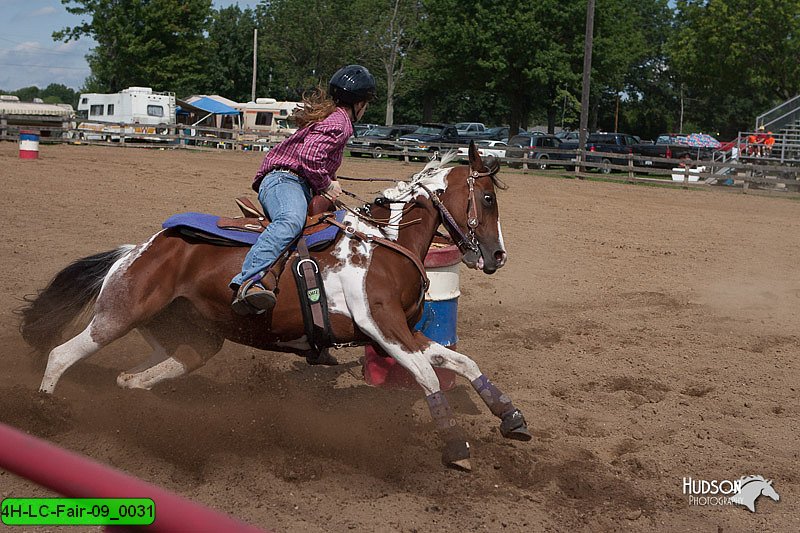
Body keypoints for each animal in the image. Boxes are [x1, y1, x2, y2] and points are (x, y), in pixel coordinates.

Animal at [17, 141, 532, 470]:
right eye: (487, 198)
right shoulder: (384, 330)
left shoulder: (405, 333)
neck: (385, 244)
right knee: (61, 354)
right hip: (118, 314)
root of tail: (137, 251)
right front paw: (455, 446)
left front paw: (512, 418)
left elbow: (462, 362)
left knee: (134, 378)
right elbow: (427, 375)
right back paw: (44, 414)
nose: (497, 256)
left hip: (193, 338)